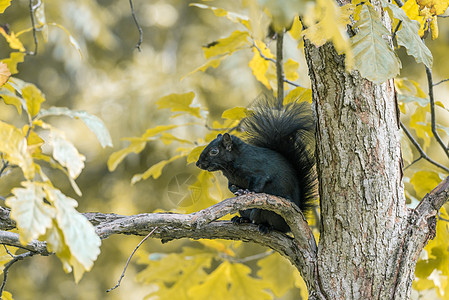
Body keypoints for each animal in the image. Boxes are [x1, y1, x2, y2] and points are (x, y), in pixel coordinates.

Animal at [195, 99, 316, 233]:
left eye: (214, 151)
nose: (198, 163)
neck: (230, 168)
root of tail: (288, 227)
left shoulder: (259, 170)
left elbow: (259, 182)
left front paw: (249, 191)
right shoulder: (232, 180)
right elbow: (230, 186)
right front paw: (236, 190)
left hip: (269, 214)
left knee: (271, 224)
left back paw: (266, 226)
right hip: (244, 211)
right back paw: (241, 219)